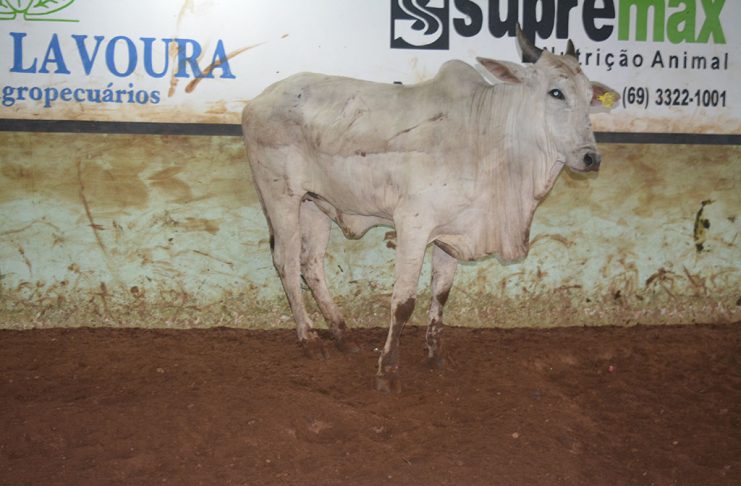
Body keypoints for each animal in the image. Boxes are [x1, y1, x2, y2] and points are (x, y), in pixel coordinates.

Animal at [241, 27, 618, 392]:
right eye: (556, 92)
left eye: (590, 96)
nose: (592, 158)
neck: (488, 139)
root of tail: (257, 101)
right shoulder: (413, 225)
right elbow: (404, 301)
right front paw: (387, 370)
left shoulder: (450, 234)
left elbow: (441, 293)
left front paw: (435, 355)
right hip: (281, 196)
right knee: (287, 262)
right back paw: (309, 339)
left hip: (315, 203)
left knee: (311, 262)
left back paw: (342, 334)